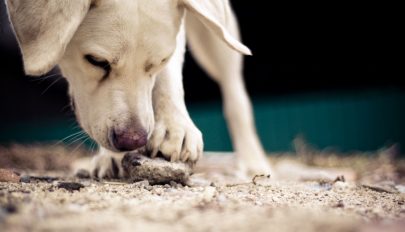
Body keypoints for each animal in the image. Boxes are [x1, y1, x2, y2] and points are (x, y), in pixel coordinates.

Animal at [6, 0, 270, 179]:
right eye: (96, 61)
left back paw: (253, 162)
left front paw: (174, 127)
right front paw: (110, 156)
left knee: (234, 93)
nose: (131, 141)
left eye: (160, 60)